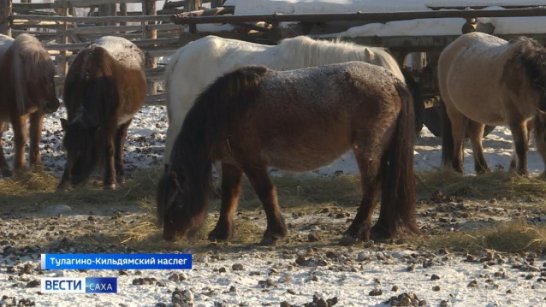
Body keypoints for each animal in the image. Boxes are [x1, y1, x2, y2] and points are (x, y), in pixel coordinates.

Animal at [0, 33, 60, 177]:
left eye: (52, 75)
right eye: (33, 77)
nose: (53, 105)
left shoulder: (39, 112)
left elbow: (35, 137)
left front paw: (36, 167)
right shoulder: (17, 113)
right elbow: (21, 138)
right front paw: (20, 168)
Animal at [59, 36, 146, 190]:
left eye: (86, 148)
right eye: (67, 147)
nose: (74, 177)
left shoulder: (110, 120)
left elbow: (108, 148)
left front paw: (110, 181)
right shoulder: (71, 113)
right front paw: (63, 183)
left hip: (126, 120)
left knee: (119, 142)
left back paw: (120, 174)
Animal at [157, 62, 416, 245]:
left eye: (176, 202)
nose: (169, 235)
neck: (229, 107)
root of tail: (392, 80)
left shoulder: (252, 161)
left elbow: (265, 193)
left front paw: (275, 232)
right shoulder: (232, 163)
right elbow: (230, 195)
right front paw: (221, 233)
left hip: (367, 149)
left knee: (373, 186)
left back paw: (355, 231)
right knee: (388, 183)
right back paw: (382, 230)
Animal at [440, 32, 546, 176]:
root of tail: (448, 49)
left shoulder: (530, 118)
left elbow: (522, 143)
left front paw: (514, 170)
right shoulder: (516, 117)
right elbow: (521, 145)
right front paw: (522, 173)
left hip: (477, 112)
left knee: (475, 135)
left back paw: (482, 168)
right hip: (454, 110)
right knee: (458, 135)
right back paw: (458, 168)